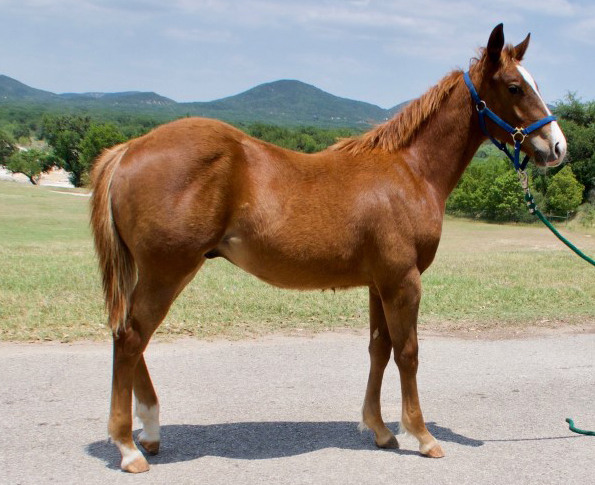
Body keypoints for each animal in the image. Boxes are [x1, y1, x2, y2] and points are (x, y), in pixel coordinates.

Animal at [89, 24, 568, 470]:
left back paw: (149, 431)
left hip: (160, 271)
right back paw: (128, 447)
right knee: (131, 338)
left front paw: (379, 429)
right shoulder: (403, 281)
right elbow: (408, 353)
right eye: (514, 86)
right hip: (168, 270)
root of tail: (129, 149)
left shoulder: (379, 283)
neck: (409, 171)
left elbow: (379, 349)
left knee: (131, 336)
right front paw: (422, 435)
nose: (557, 147)